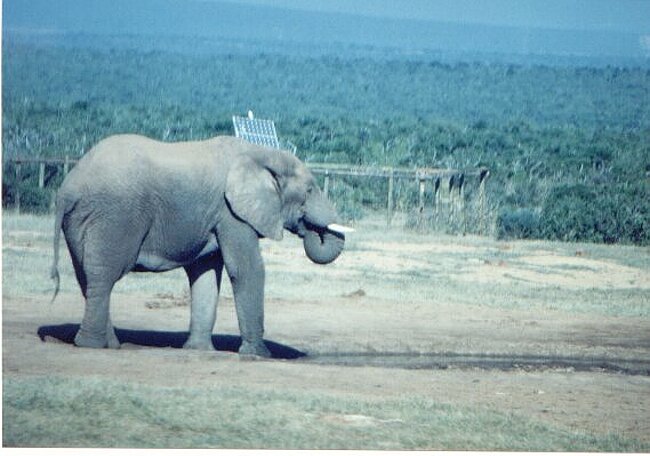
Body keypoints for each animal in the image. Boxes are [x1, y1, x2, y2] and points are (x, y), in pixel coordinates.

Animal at [50, 134, 352, 357]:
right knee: (104, 275)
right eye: (310, 190)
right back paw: (94, 346)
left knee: (87, 277)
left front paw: (199, 350)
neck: (262, 153)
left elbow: (205, 273)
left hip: (82, 220)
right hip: (115, 216)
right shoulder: (231, 211)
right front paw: (259, 354)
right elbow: (247, 269)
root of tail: (67, 188)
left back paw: (111, 344)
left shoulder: (216, 215)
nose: (312, 227)